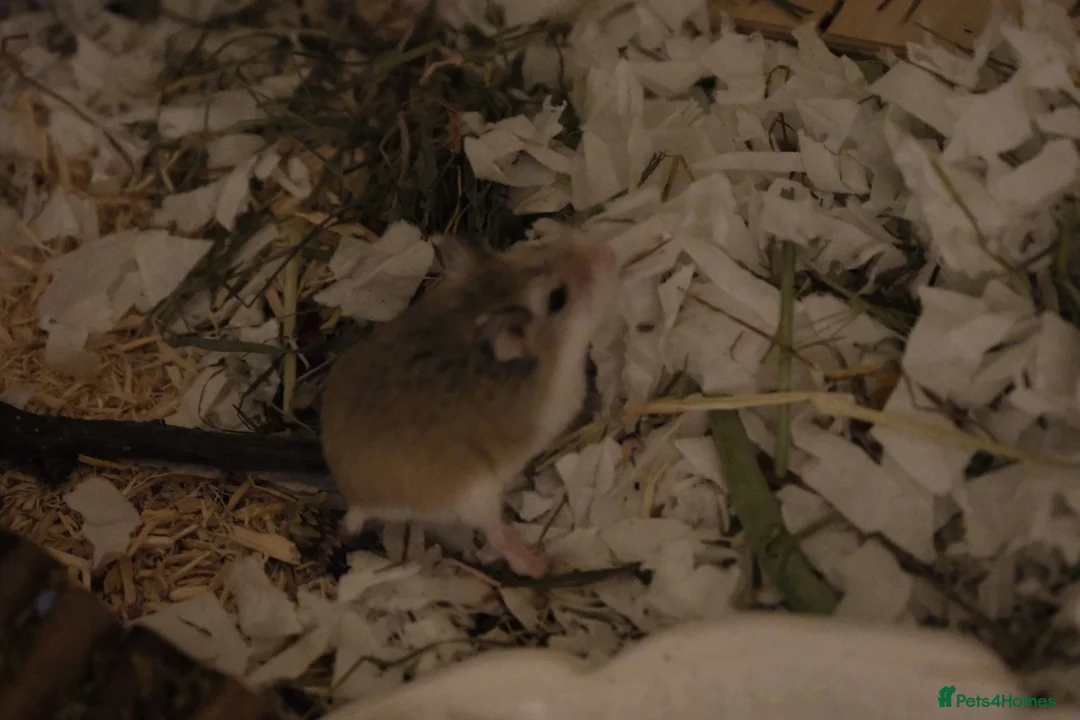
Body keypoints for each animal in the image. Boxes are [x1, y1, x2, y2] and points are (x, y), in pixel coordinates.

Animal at [320, 230, 618, 578]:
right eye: (558, 298)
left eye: (537, 248)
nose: (609, 252)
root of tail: (359, 499)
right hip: (475, 492)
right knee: (495, 532)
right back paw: (537, 566)